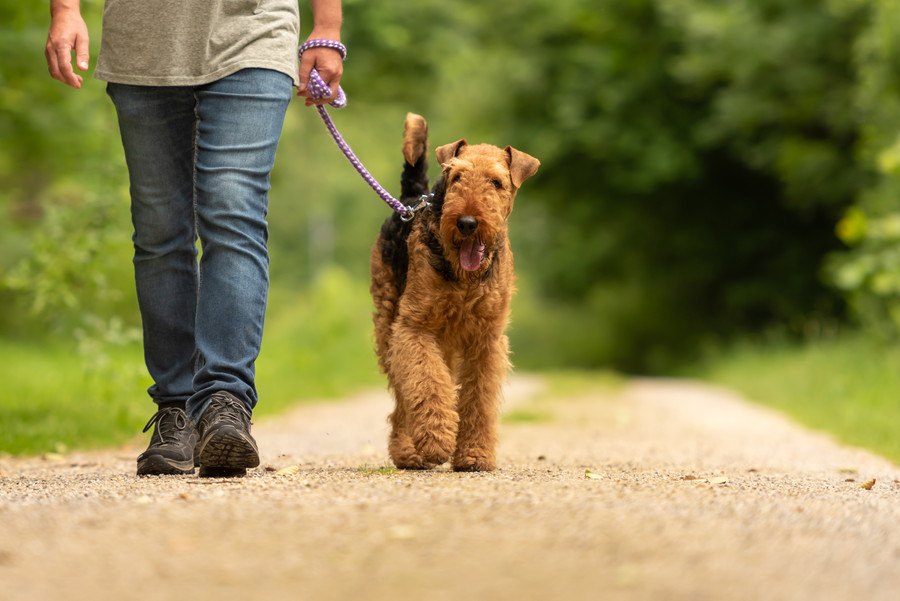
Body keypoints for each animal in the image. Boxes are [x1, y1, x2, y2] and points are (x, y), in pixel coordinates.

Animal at [368, 111, 536, 468]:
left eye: (496, 182)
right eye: (457, 177)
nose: (467, 223)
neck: (465, 278)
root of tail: (412, 199)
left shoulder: (487, 338)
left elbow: (478, 398)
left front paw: (474, 455)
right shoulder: (414, 327)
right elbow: (427, 383)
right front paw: (436, 440)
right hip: (390, 323)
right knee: (403, 393)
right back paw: (408, 451)